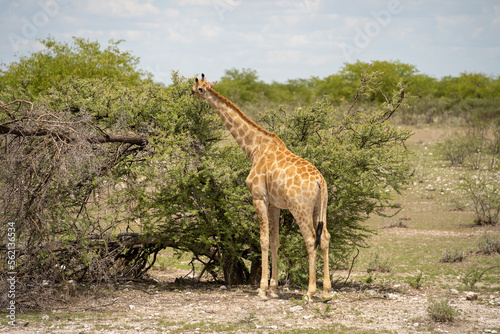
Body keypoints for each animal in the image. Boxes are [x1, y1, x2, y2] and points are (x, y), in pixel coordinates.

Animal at [192, 73, 332, 300]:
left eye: (199, 88)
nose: (191, 93)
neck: (254, 147)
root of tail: (320, 181)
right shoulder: (274, 204)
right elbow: (275, 241)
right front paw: (273, 288)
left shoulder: (258, 197)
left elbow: (263, 240)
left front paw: (262, 290)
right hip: (320, 208)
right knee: (326, 237)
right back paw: (327, 290)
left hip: (300, 208)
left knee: (311, 240)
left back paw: (310, 292)